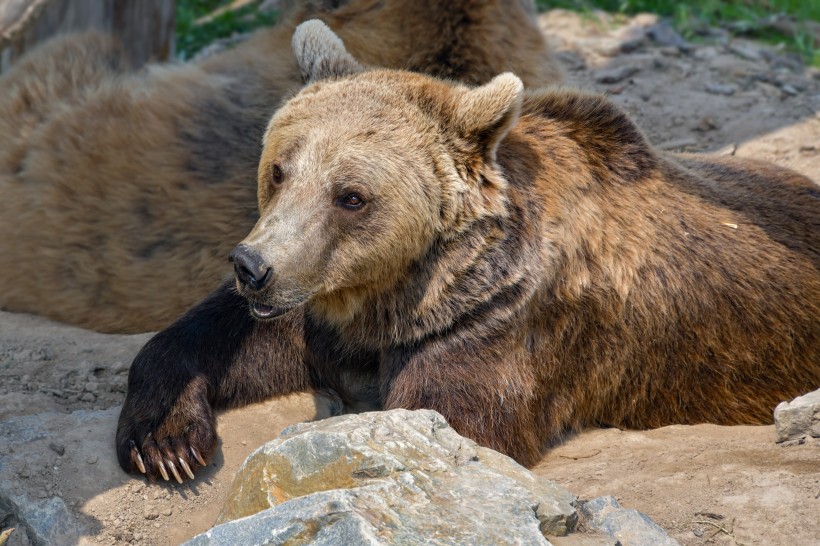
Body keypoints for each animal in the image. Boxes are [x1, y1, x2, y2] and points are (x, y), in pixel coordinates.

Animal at [117, 20, 820, 480]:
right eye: (280, 169)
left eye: (351, 195)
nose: (253, 267)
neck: (402, 293)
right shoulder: (325, 302)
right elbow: (222, 337)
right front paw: (166, 442)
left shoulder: (502, 324)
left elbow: (446, 419)